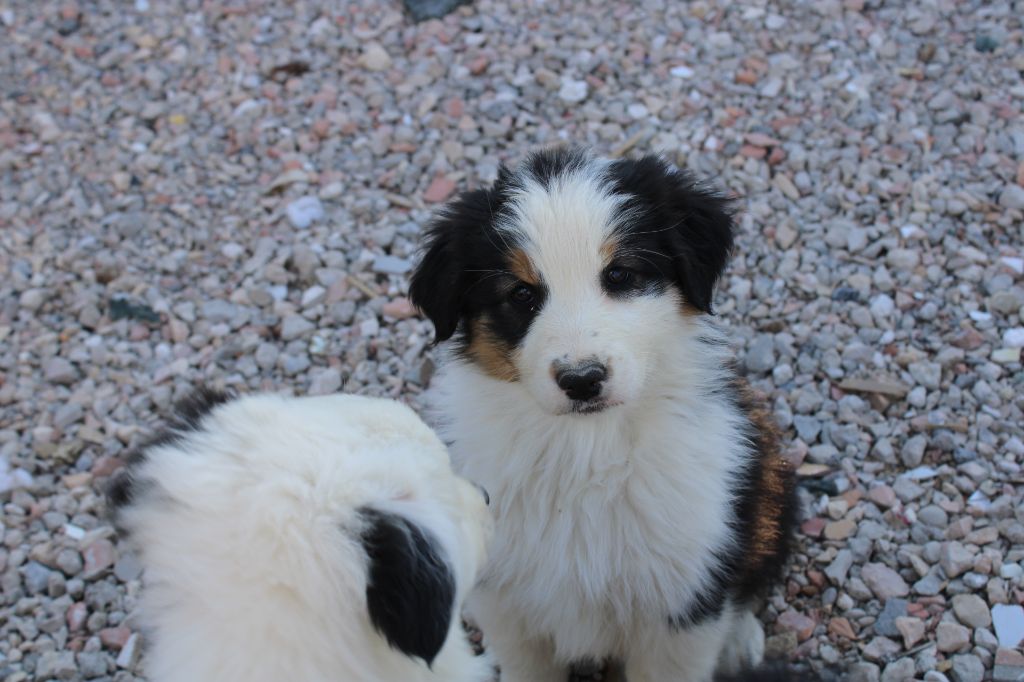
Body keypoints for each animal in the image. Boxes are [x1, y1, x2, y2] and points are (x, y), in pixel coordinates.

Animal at [408, 147, 798, 682]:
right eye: (521, 294)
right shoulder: (506, 603)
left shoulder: (680, 605)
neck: (585, 451)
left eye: (620, 276)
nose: (581, 380)